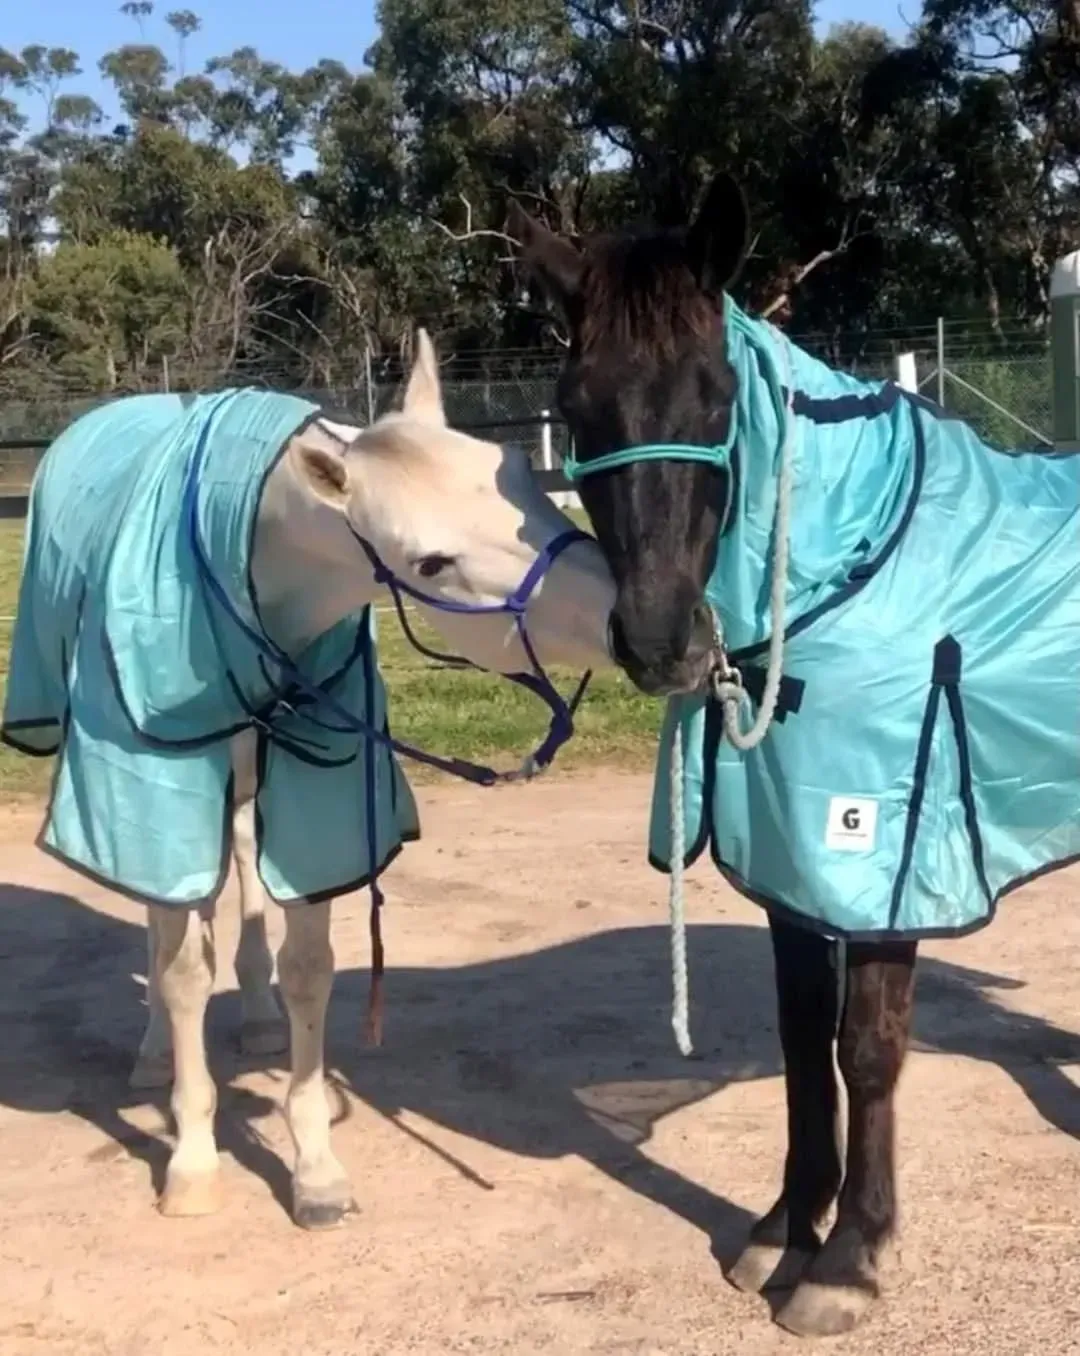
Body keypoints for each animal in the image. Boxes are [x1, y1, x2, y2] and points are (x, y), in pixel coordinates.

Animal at [1, 329, 616, 1230]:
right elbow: (182, 971)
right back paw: (153, 1054)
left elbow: (306, 969)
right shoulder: (157, 782)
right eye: (431, 560)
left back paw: (257, 1022)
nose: (653, 621)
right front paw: (192, 1162)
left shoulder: (319, 789)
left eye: (513, 468)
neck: (248, 579)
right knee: (163, 917)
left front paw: (314, 1159)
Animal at [507, 177, 1080, 1335]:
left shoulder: (883, 857)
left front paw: (852, 1258)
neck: (858, 564)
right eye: (576, 401)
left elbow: (867, 1048)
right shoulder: (791, 857)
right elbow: (802, 1039)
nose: (659, 640)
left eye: (718, 394)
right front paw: (786, 1228)